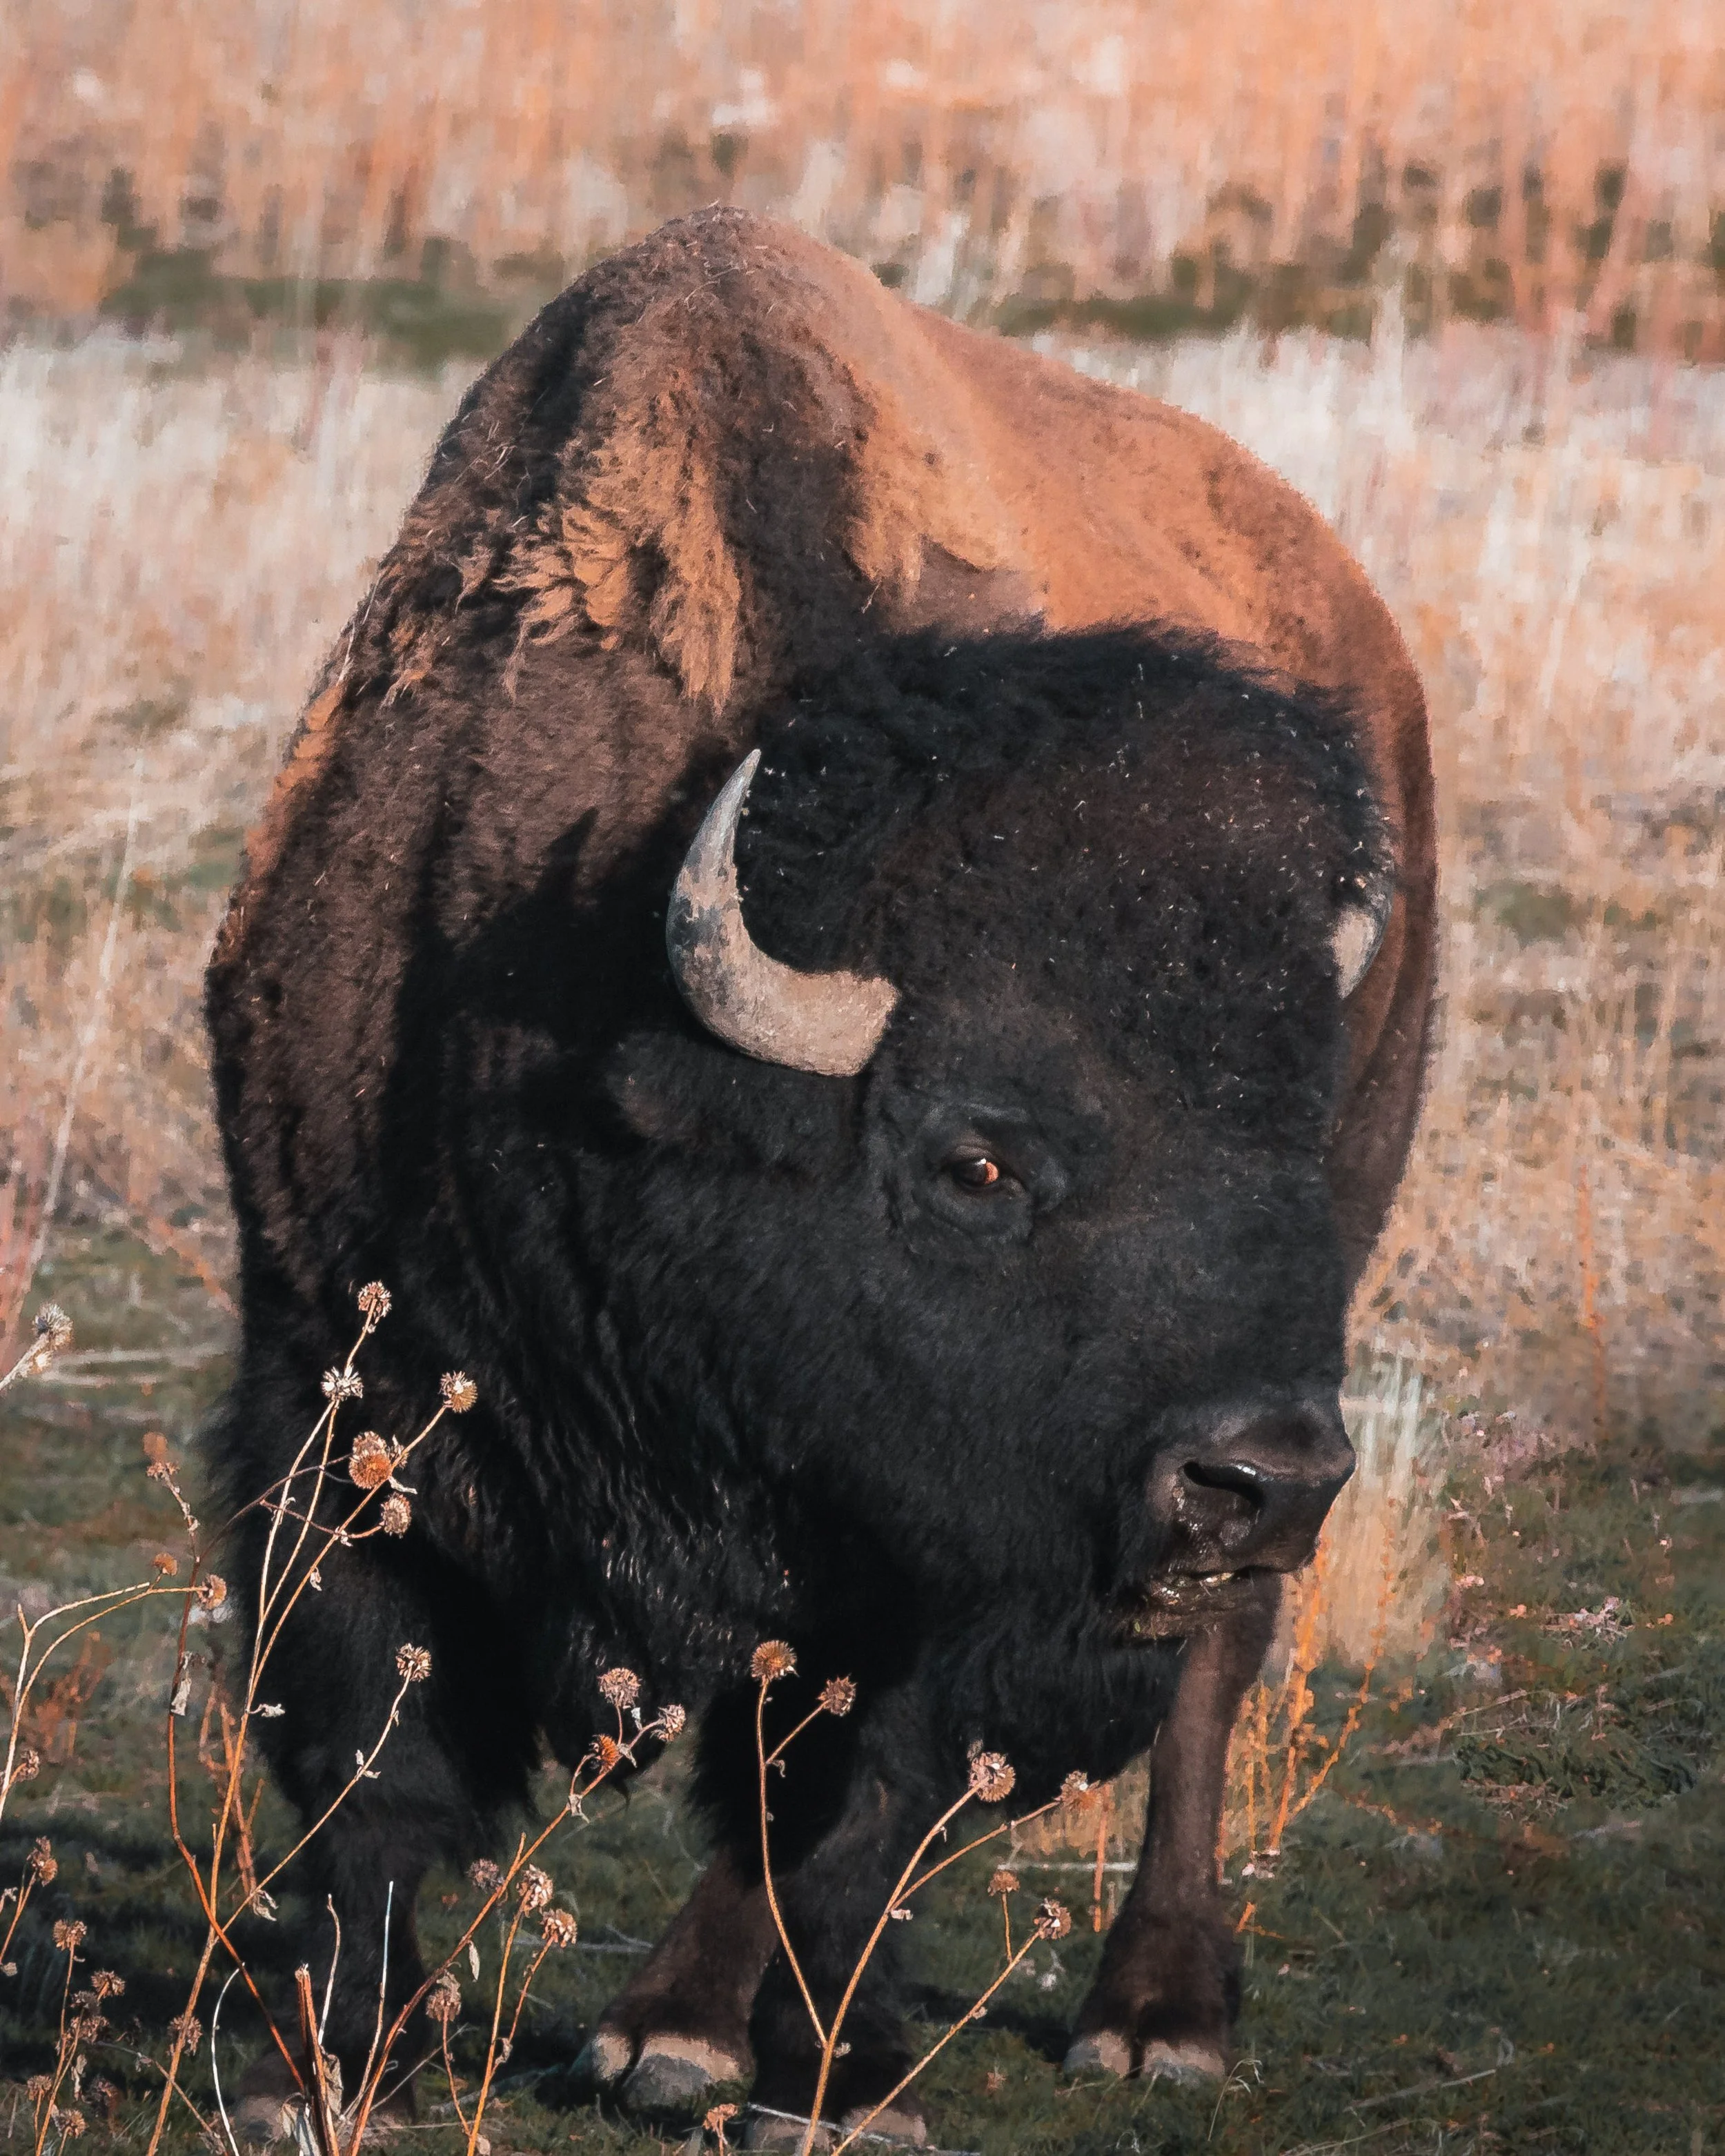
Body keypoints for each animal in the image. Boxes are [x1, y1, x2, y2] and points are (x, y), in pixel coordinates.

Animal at [207, 208, 1435, 2146]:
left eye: (1282, 1132)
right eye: (975, 1156)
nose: (1258, 1475)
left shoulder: (955, 1538)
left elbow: (854, 1802)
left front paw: (765, 2064)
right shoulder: (332, 1373)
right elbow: (370, 1758)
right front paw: (321, 2064)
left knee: (1202, 1676)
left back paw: (1136, 2013)